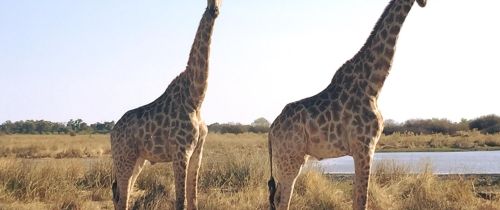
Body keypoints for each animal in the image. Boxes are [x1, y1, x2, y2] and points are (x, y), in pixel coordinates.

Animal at [111, 0, 223, 209]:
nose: (214, 10)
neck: (196, 98)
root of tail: (112, 133)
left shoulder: (197, 152)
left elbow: (193, 199)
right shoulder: (181, 152)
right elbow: (181, 201)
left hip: (138, 159)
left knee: (122, 194)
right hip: (124, 157)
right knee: (121, 196)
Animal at [268, 0, 428, 209]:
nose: (424, 4)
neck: (373, 85)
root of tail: (271, 130)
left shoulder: (362, 149)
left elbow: (357, 198)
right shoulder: (365, 146)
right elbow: (362, 199)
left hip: (288, 158)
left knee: (277, 197)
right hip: (290, 158)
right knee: (283, 199)